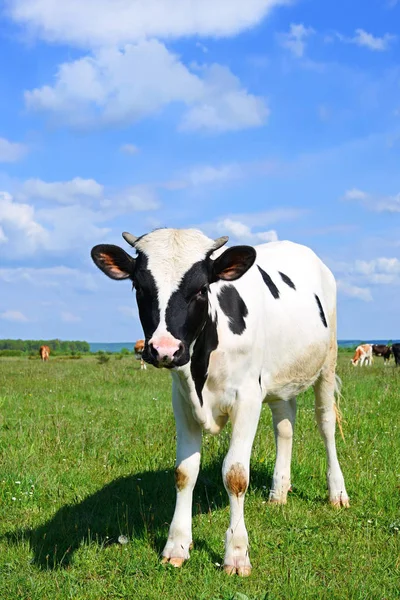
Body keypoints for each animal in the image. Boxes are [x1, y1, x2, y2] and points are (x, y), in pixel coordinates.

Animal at [90, 227, 346, 576]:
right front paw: (177, 545)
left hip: (327, 361)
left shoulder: (248, 398)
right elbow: (184, 472)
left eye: (201, 289)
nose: (164, 349)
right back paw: (279, 492)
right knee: (284, 426)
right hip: (280, 377)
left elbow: (235, 475)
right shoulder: (182, 400)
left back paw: (337, 492)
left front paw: (236, 554)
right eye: (139, 286)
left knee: (325, 424)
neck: (200, 370)